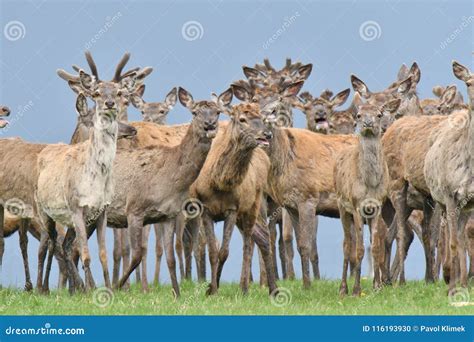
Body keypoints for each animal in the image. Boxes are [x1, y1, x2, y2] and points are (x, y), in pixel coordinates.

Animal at [334, 97, 400, 296]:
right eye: (358, 115)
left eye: (379, 114)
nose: (368, 123)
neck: (370, 183)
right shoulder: (357, 206)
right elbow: (359, 249)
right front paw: (356, 290)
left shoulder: (377, 206)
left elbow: (376, 246)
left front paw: (377, 286)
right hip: (341, 206)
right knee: (347, 245)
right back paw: (343, 288)